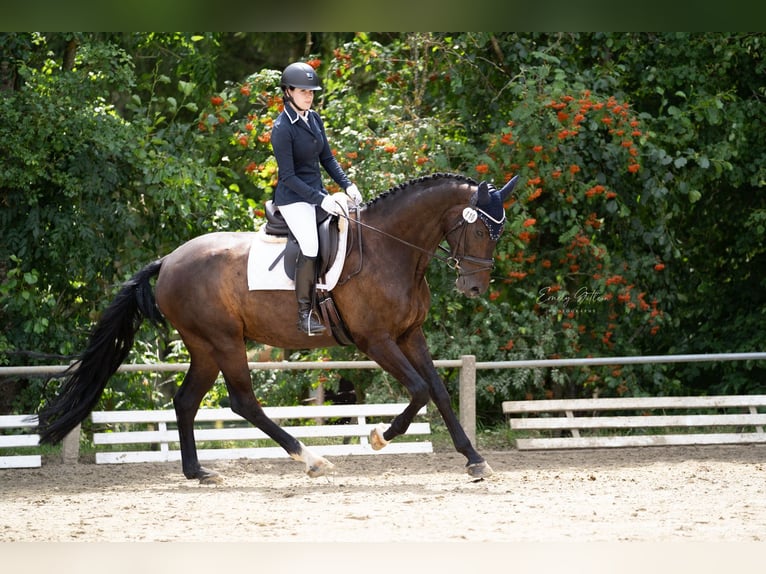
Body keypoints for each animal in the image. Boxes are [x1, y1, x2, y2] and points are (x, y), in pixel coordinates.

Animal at [34, 173, 516, 484]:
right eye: (479, 231)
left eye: (499, 233)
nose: (474, 287)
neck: (390, 250)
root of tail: (168, 260)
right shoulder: (376, 341)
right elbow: (417, 390)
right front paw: (380, 436)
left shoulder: (409, 335)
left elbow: (437, 390)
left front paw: (474, 460)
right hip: (225, 342)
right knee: (243, 401)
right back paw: (312, 460)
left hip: (205, 347)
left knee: (186, 401)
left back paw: (198, 472)